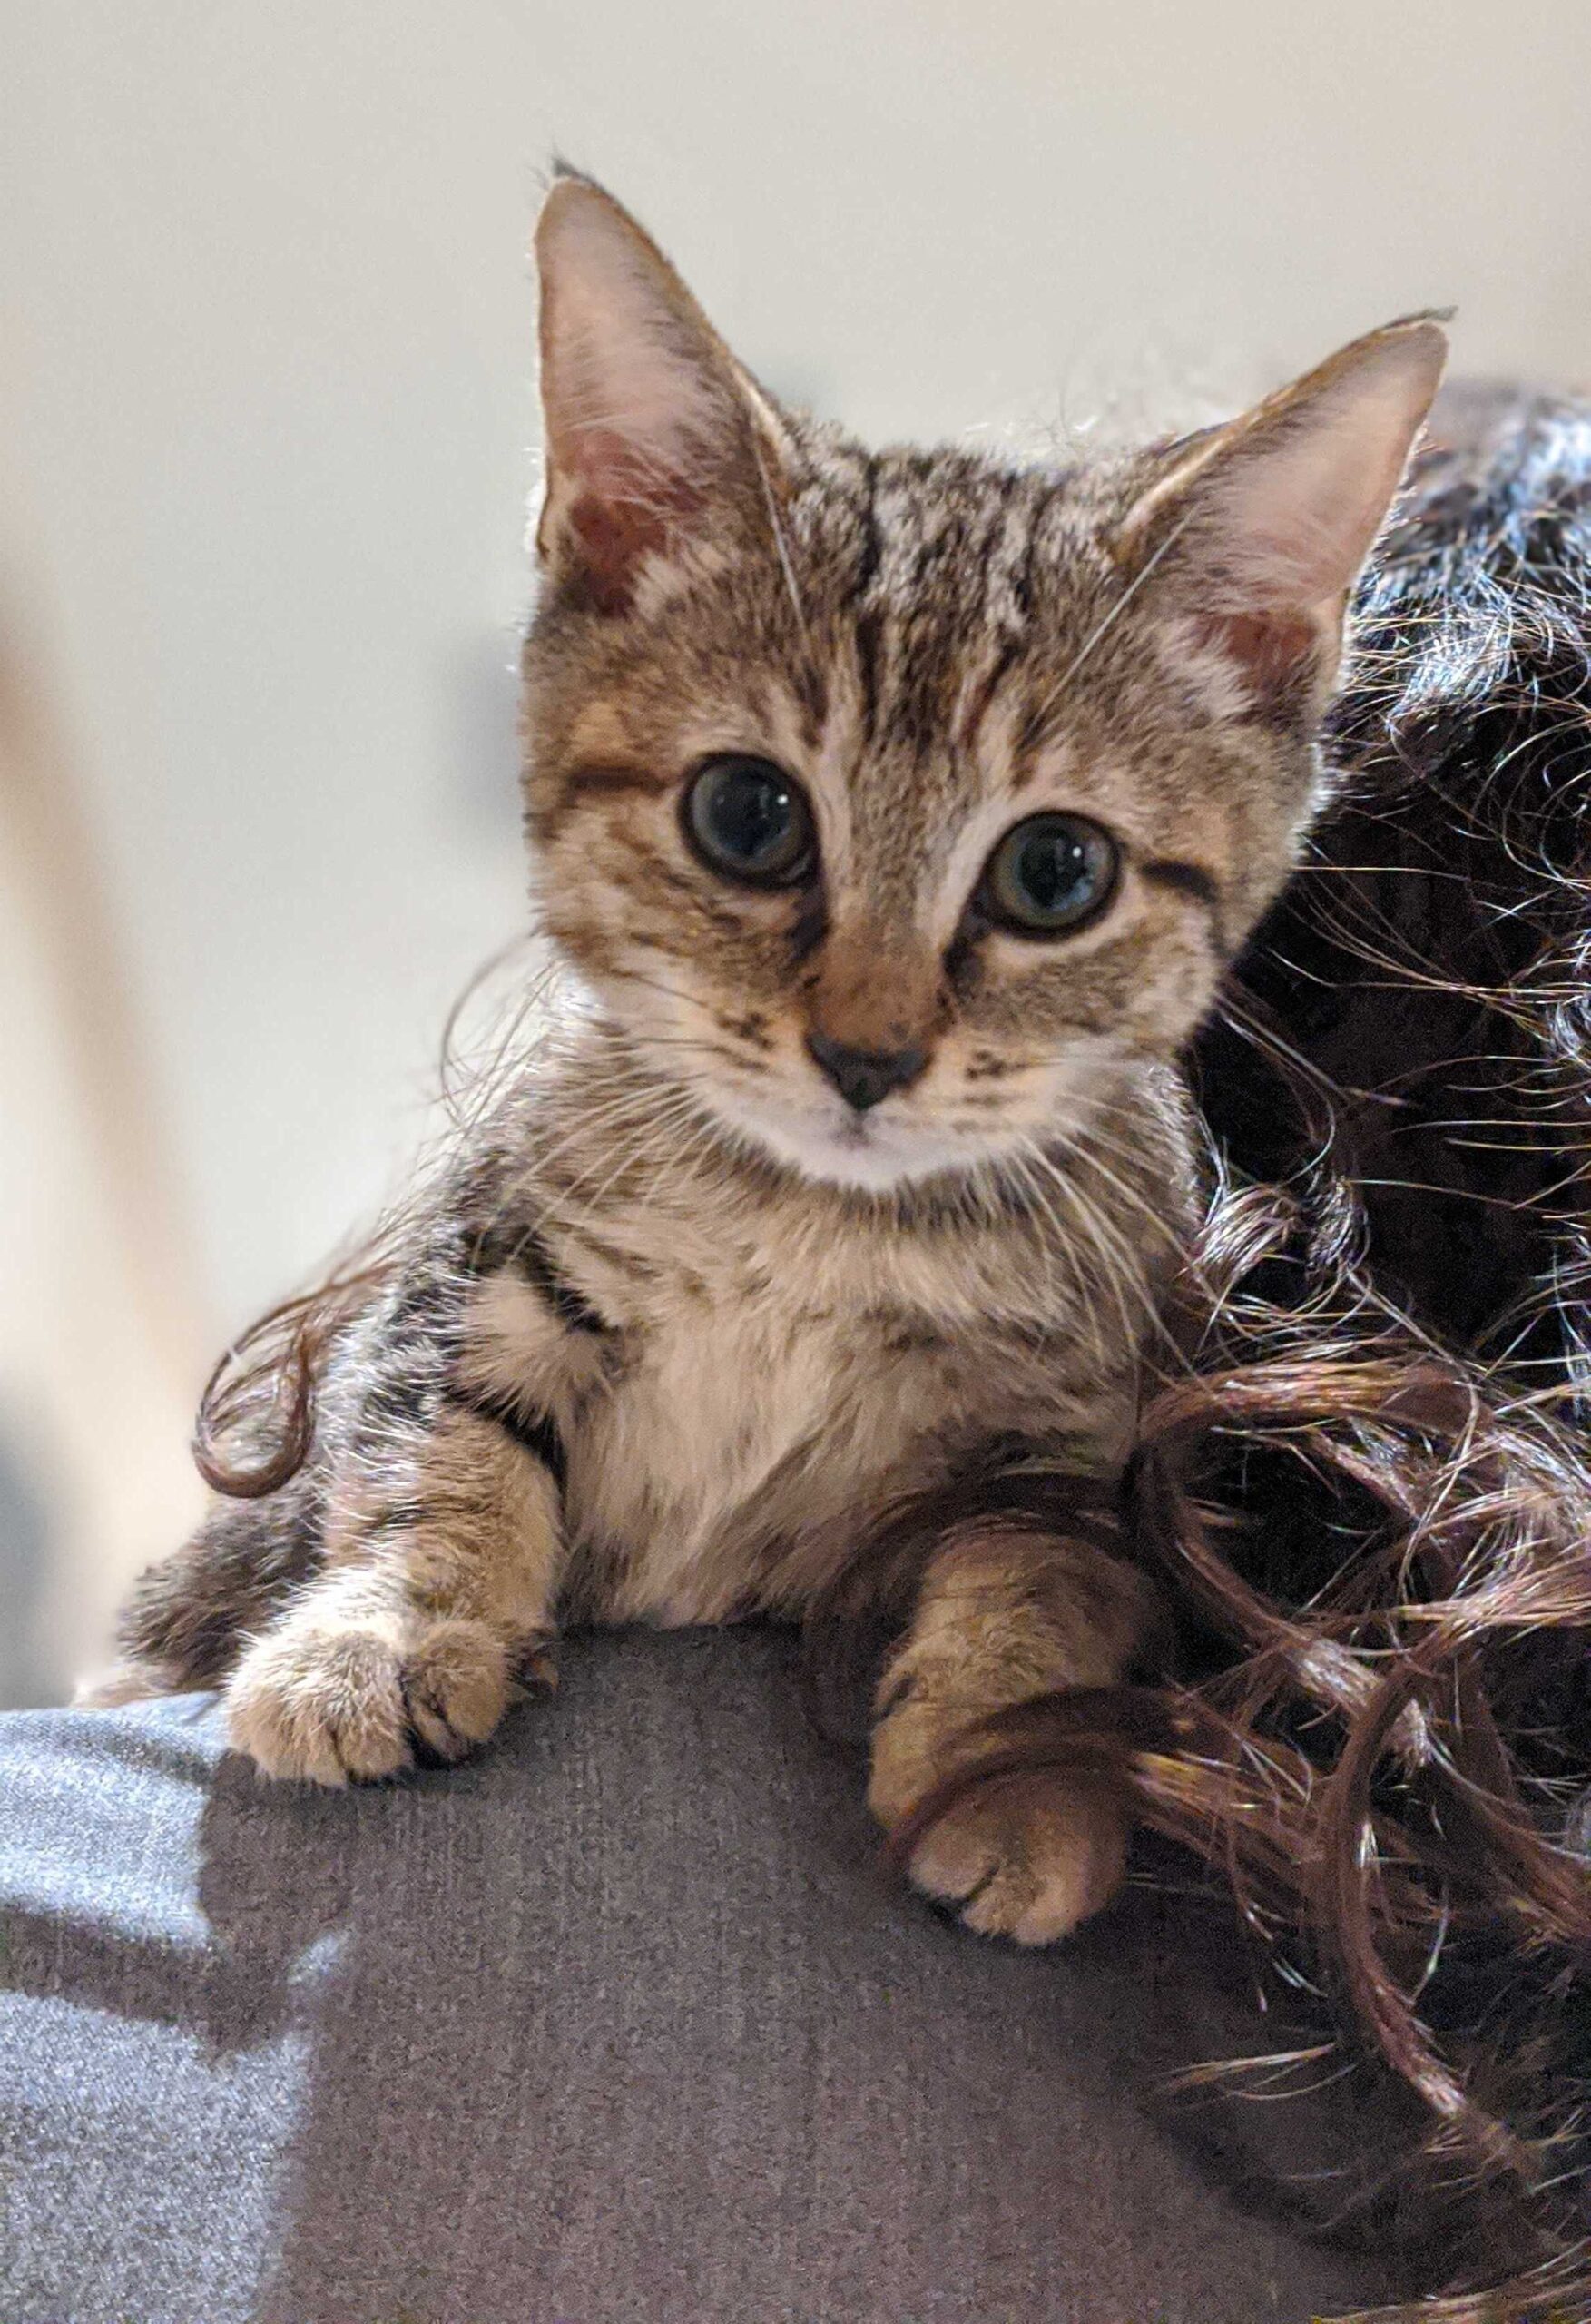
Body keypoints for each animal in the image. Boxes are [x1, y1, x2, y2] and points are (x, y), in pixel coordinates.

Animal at [107, 168, 1444, 1944]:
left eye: (1056, 873)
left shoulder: (1081, 1419)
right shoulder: (488, 1241)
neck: (813, 1231)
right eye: (746, 816)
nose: (865, 1053)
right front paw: (388, 1629)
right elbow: (427, 1427)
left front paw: (1011, 1768)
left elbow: (1055, 1567)